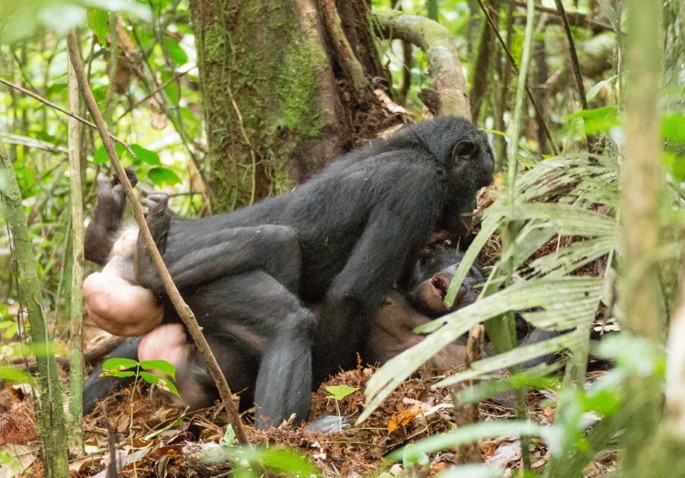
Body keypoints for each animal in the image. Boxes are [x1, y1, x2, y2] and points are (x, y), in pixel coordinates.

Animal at [85, 115, 494, 426]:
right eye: (479, 182)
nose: (473, 208)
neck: (421, 152)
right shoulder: (417, 185)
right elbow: (352, 292)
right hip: (196, 290)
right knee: (286, 302)